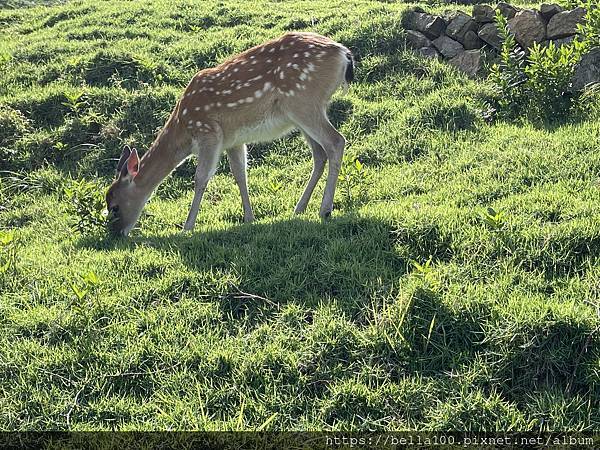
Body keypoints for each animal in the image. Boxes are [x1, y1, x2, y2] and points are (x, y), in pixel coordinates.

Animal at [105, 31, 354, 236]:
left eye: (114, 206)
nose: (115, 234)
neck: (183, 128)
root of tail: (344, 54)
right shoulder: (233, 140)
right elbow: (240, 173)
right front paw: (249, 218)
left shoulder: (208, 132)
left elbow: (201, 177)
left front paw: (187, 227)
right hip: (303, 112)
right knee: (319, 153)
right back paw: (299, 208)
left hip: (303, 101)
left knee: (336, 141)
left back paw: (324, 209)